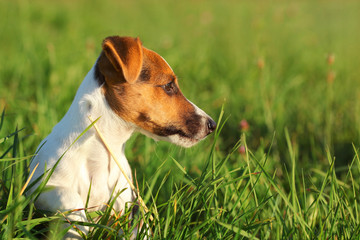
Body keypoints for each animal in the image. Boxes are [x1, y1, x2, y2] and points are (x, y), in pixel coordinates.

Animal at [28, 35, 215, 238]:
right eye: (169, 86)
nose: (212, 125)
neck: (102, 153)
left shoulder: (126, 201)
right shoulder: (37, 189)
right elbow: (69, 198)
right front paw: (79, 228)